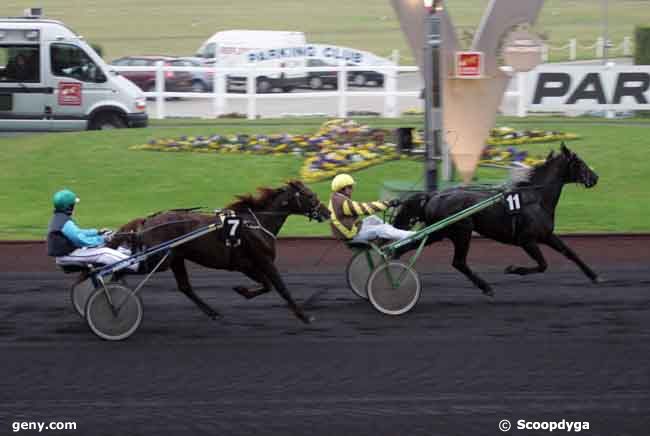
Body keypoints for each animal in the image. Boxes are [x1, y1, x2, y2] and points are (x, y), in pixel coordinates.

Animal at [108, 181, 330, 324]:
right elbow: (281, 288)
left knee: (185, 287)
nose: (327, 212)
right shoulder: (263, 260)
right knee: (120, 270)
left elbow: (266, 285)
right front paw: (304, 316)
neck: (256, 223)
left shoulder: (247, 265)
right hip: (159, 260)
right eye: (310, 195)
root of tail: (147, 221)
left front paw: (242, 290)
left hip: (175, 258)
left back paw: (213, 313)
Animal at [390, 143, 596, 296]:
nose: (595, 177)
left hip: (438, 232)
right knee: (458, 262)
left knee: (407, 247)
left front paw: (593, 275)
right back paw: (486, 287)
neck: (536, 198)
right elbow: (543, 265)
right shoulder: (527, 240)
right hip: (461, 231)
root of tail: (433, 196)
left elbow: (570, 253)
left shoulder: (546, 235)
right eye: (580, 163)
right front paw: (514, 269)